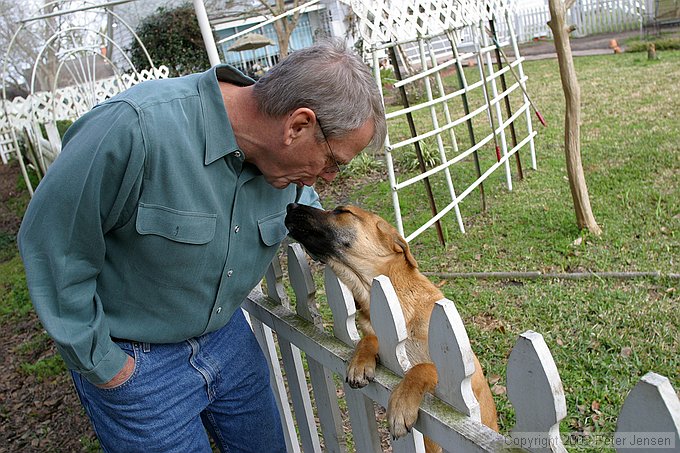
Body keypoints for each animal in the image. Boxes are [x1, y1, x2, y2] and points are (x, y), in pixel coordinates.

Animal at [282, 204, 500, 448]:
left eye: (341, 211)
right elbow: (370, 337)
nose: (290, 206)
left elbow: (423, 367)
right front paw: (360, 361)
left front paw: (401, 403)